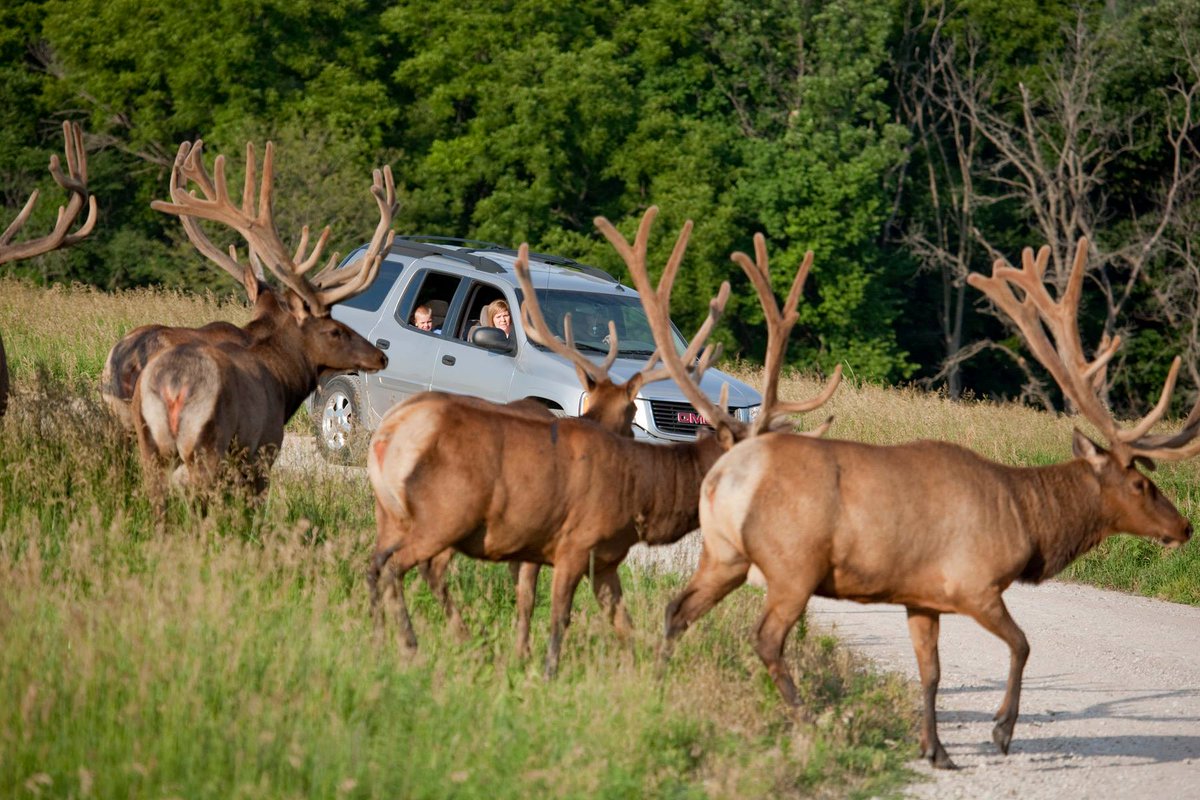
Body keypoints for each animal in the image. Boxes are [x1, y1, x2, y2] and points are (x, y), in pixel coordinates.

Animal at [131, 141, 393, 506]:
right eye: (335, 330)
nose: (380, 355)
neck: (282, 380)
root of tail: (172, 386)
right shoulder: (264, 448)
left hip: (150, 444)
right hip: (208, 446)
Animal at [369, 206, 840, 676]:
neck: (642, 494)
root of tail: (387, 436)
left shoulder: (607, 559)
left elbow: (622, 624)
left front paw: (639, 674)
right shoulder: (574, 542)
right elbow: (559, 616)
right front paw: (545, 672)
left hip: (395, 516)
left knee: (381, 564)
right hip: (444, 514)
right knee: (398, 568)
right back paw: (412, 646)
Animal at [662, 236, 1195, 767]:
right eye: (1141, 485)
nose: (1185, 527)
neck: (1028, 521)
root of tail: (723, 476)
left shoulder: (921, 597)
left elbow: (931, 672)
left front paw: (935, 749)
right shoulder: (973, 583)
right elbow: (1022, 646)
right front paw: (1000, 731)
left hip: (723, 554)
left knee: (677, 609)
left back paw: (658, 678)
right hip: (793, 564)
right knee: (765, 637)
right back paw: (806, 720)